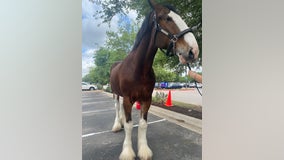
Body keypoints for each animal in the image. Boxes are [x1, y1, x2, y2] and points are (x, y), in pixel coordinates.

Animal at [110, 0, 199, 159]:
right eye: (167, 18)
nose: (194, 50)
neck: (139, 69)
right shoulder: (127, 98)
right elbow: (129, 125)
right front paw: (127, 152)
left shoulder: (146, 99)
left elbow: (143, 124)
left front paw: (144, 150)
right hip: (115, 93)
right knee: (116, 107)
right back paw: (116, 125)